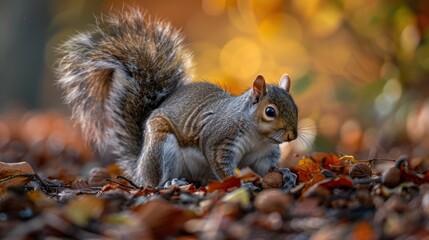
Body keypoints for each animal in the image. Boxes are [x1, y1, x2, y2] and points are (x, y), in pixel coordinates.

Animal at [56, 9, 298, 188]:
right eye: (270, 112)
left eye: (295, 108)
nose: (292, 136)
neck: (258, 136)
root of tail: (140, 169)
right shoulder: (220, 139)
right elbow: (222, 166)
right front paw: (239, 184)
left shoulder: (262, 154)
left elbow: (266, 167)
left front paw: (284, 173)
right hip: (162, 148)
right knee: (157, 182)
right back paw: (171, 182)